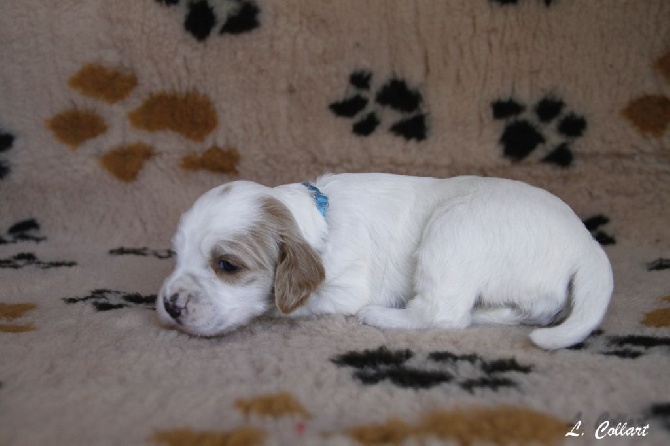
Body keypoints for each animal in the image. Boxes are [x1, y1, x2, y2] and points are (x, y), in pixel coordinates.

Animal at [156, 172, 616, 350]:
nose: (170, 306)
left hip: (454, 229)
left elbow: (287, 306)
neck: (321, 221)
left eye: (227, 266)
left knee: (443, 314)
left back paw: (382, 317)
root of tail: (587, 243)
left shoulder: (345, 288)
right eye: (176, 255)